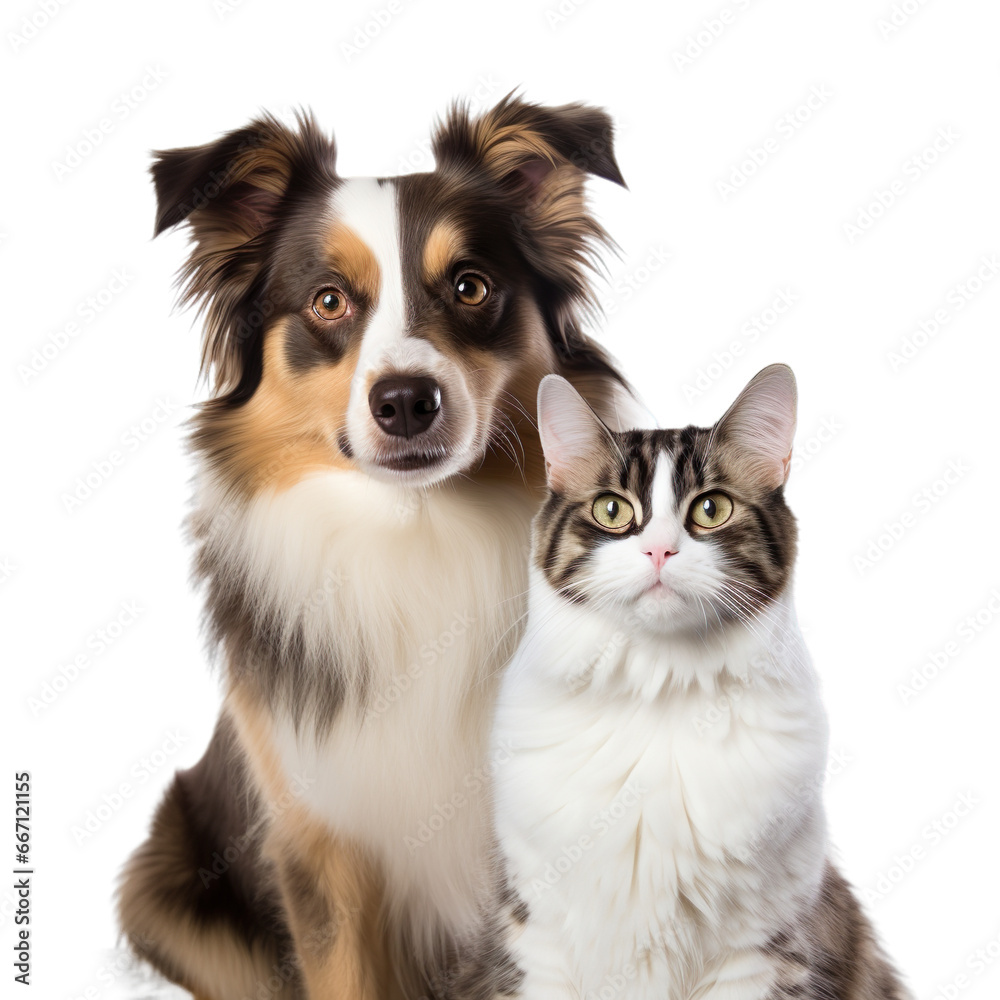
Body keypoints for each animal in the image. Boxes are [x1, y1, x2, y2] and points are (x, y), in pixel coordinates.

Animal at [492, 368, 916, 1000]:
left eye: (711, 509)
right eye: (612, 510)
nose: (659, 549)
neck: (661, 689)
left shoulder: (763, 952)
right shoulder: (535, 939)